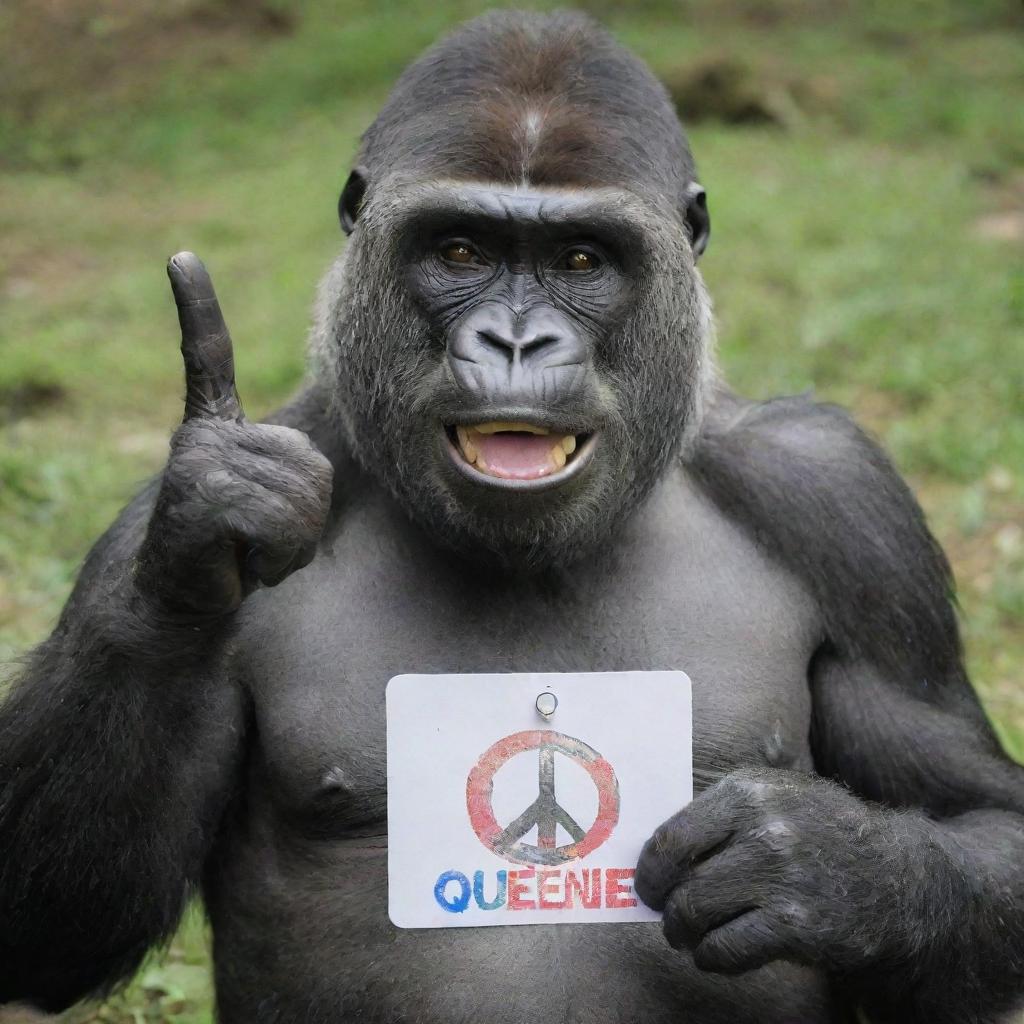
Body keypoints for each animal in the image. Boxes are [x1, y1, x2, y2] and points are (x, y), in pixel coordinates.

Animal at [2, 9, 1024, 1024]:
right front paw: (212, 528)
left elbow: (982, 812)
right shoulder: (134, 529)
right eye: (461, 251)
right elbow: (53, 927)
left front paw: (822, 867)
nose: (517, 340)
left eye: (580, 259)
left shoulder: (842, 506)